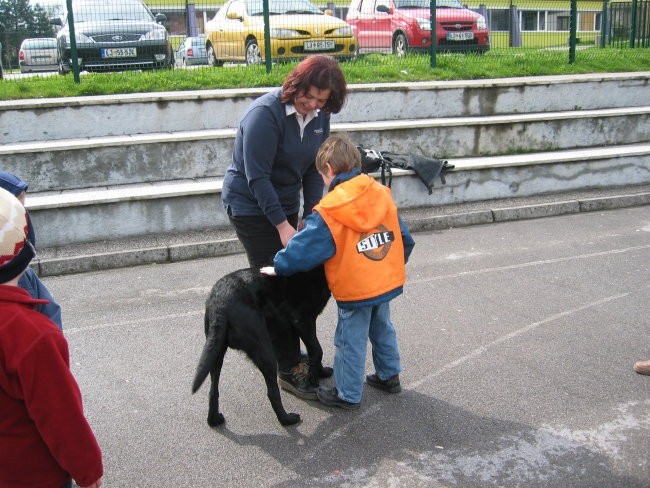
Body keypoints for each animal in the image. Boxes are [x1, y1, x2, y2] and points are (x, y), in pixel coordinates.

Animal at [190, 264, 326, 426]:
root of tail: (220, 305)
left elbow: (314, 350)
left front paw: (322, 372)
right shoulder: (301, 320)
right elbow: (317, 350)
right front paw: (314, 377)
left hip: (215, 351)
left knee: (213, 390)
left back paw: (213, 419)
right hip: (265, 351)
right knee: (272, 392)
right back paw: (286, 419)